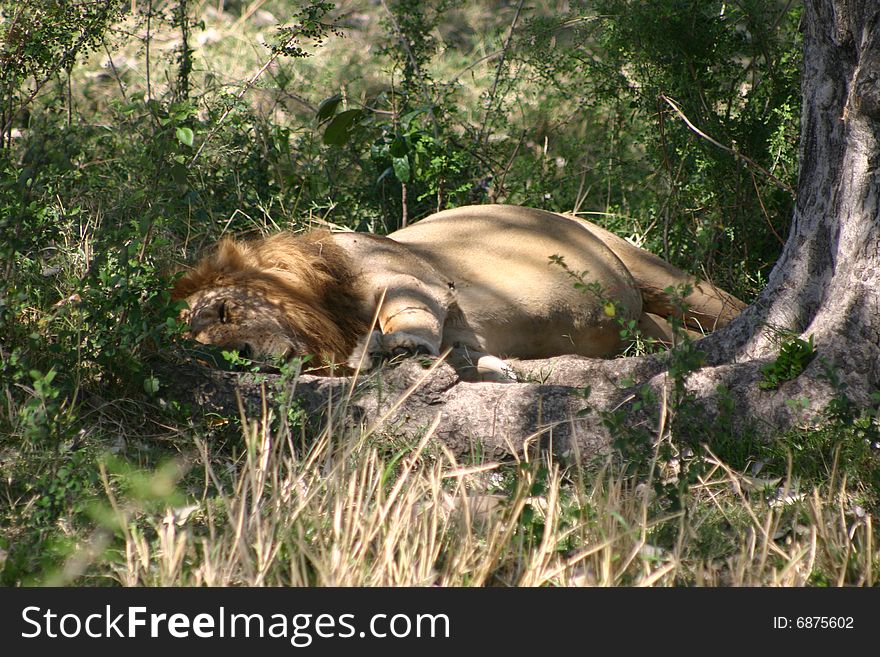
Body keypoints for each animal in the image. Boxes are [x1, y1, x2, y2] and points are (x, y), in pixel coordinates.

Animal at [170, 205, 744, 380]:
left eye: (224, 312)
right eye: (203, 349)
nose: (242, 356)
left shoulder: (413, 280)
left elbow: (409, 322)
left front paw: (390, 351)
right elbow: (470, 358)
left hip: (660, 274)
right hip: (648, 322)